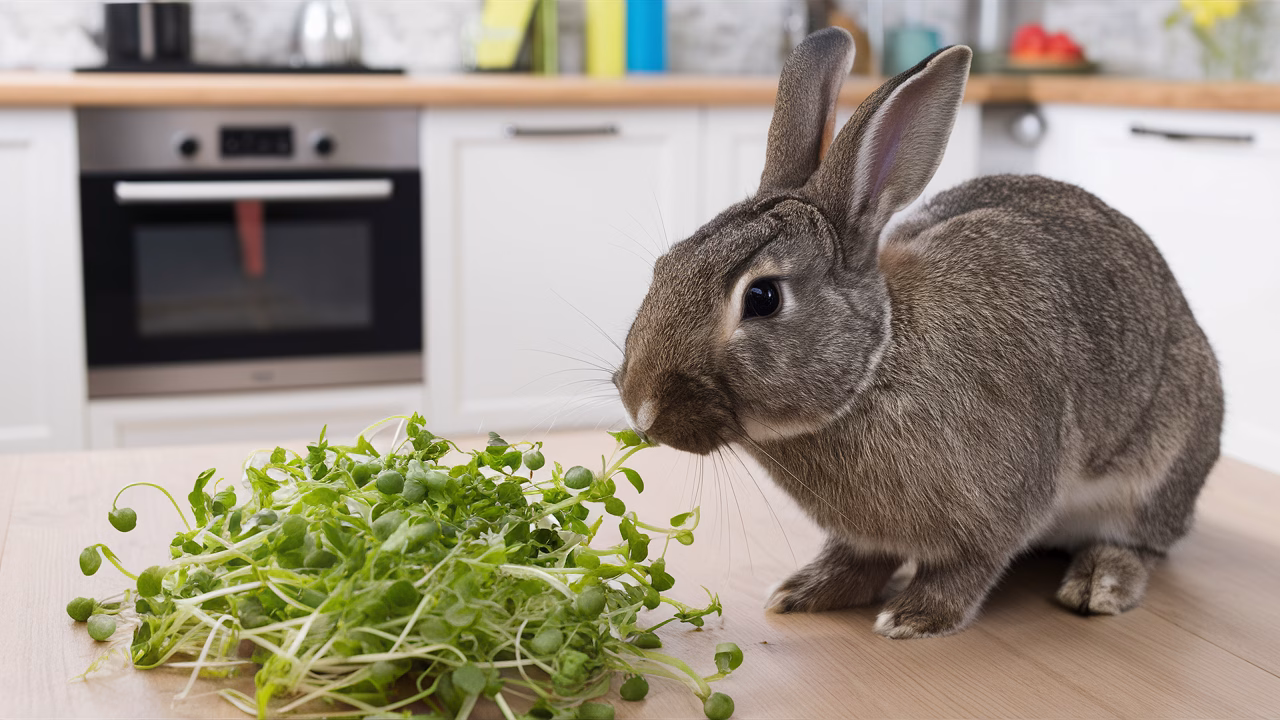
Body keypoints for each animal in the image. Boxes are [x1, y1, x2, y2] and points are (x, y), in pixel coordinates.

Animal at [612, 27, 1223, 639]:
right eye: (666, 264)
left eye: (762, 298)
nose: (641, 408)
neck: (877, 363)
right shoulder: (866, 534)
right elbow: (859, 558)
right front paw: (804, 592)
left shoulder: (1002, 506)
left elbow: (969, 568)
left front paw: (915, 617)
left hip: (1154, 475)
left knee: (1142, 543)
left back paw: (1101, 583)